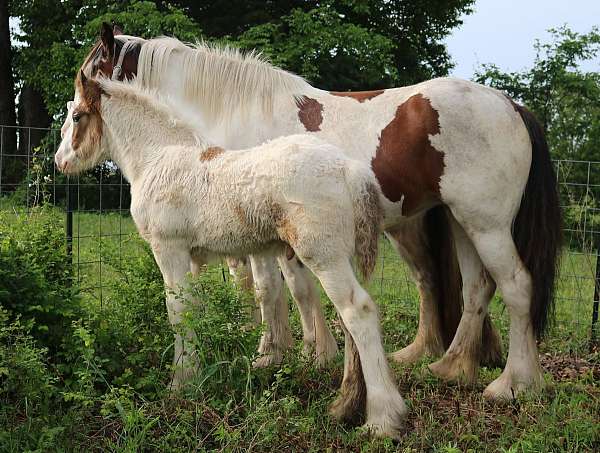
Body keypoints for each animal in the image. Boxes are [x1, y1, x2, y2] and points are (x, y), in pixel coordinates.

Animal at [55, 74, 408, 438]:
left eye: (77, 116)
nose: (59, 161)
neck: (158, 157)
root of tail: (348, 168)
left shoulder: (169, 248)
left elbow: (177, 311)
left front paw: (180, 384)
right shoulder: (191, 256)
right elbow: (194, 309)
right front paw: (196, 374)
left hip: (322, 255)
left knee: (358, 312)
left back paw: (382, 419)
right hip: (338, 256)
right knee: (346, 320)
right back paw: (344, 405)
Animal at [76, 25, 564, 400]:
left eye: (90, 74)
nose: (67, 149)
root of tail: (512, 105)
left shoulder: (261, 238)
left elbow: (270, 291)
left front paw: (272, 355)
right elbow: (297, 290)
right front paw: (312, 352)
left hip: (487, 226)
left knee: (515, 286)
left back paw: (514, 384)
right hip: (460, 224)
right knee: (470, 287)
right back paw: (448, 366)